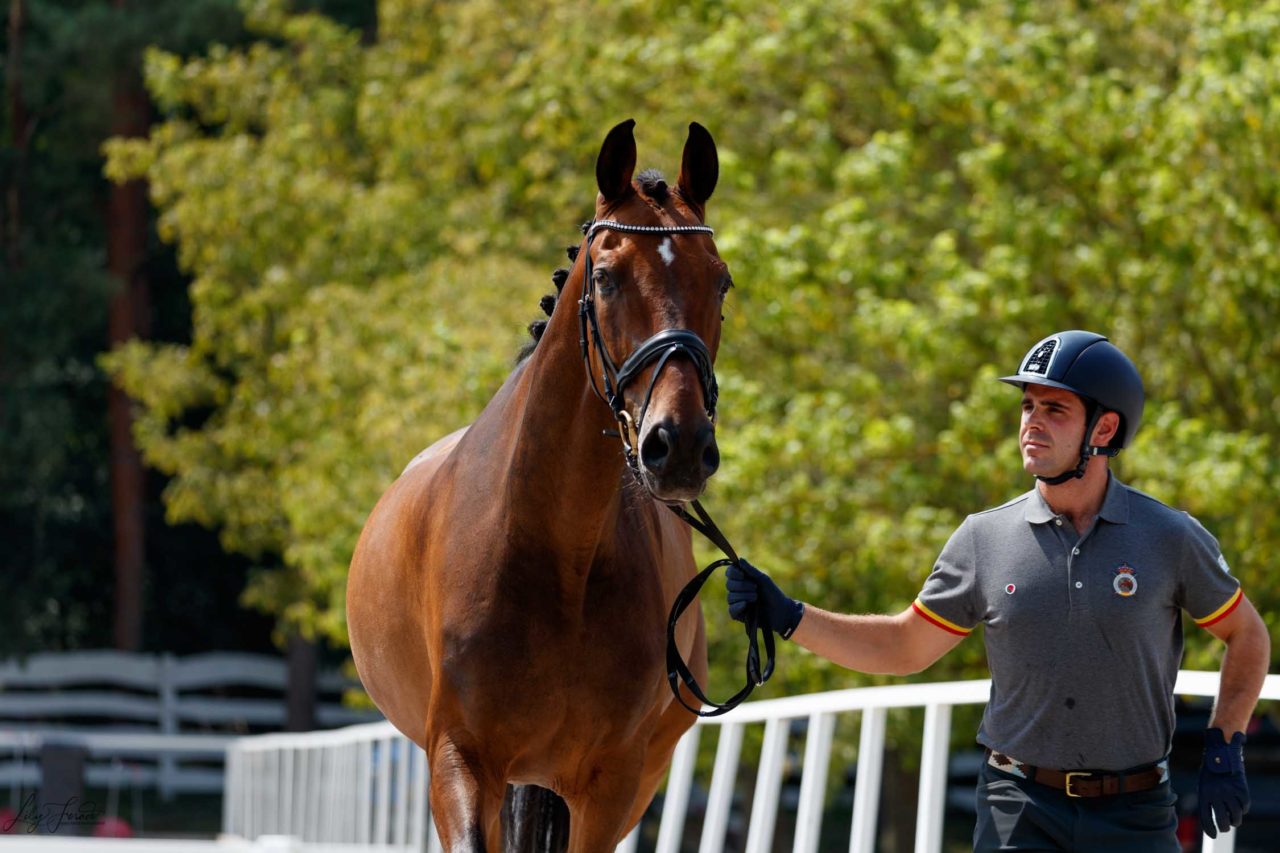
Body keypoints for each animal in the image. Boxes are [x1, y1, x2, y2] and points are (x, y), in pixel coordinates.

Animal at [348, 121, 732, 850]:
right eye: (606, 278)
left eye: (721, 282)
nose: (679, 446)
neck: (558, 550)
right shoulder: (460, 759)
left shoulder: (612, 782)